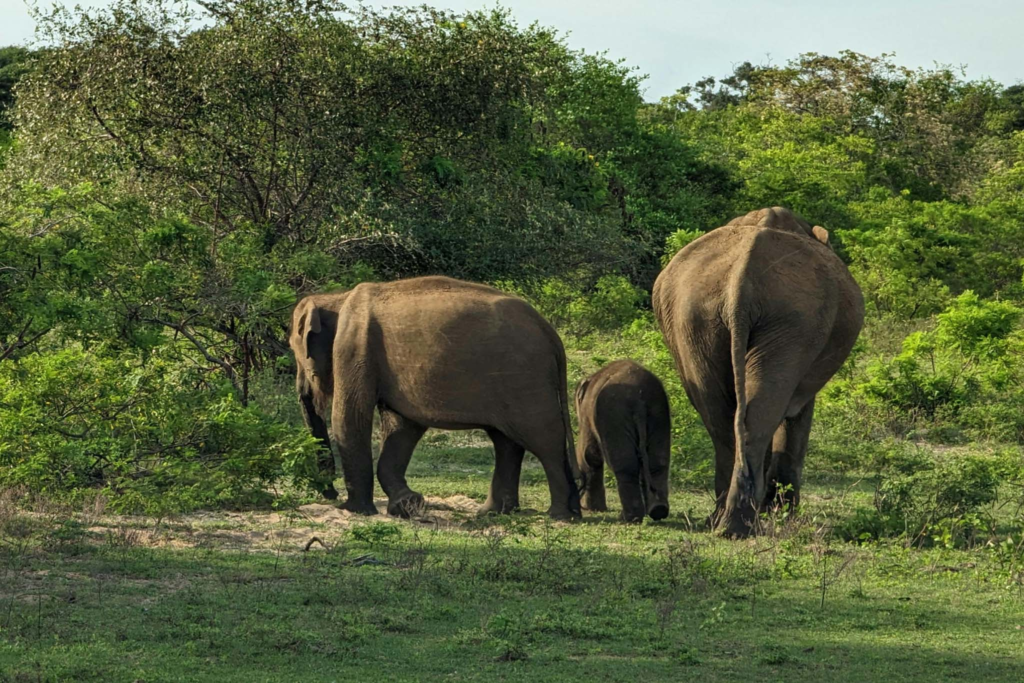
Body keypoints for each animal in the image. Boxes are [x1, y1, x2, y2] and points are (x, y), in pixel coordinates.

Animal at [288, 275, 582, 520]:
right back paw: (494, 512)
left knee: (543, 440)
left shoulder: (353, 349)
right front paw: (407, 505)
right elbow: (402, 427)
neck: (337, 298)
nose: (330, 493)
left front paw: (357, 511)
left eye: (296, 351)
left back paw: (559, 515)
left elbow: (350, 419)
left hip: (526, 380)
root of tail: (551, 334)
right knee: (506, 441)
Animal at [574, 359, 671, 522]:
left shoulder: (587, 413)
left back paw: (628, 517)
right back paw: (657, 510)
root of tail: (639, 400)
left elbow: (589, 454)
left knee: (625, 465)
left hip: (615, 417)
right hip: (659, 416)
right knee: (657, 463)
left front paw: (593, 509)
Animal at [652, 207, 864, 537]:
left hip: (695, 320)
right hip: (794, 322)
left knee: (724, 418)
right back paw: (742, 525)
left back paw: (724, 524)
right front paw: (783, 514)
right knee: (759, 413)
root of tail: (741, 283)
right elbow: (797, 412)